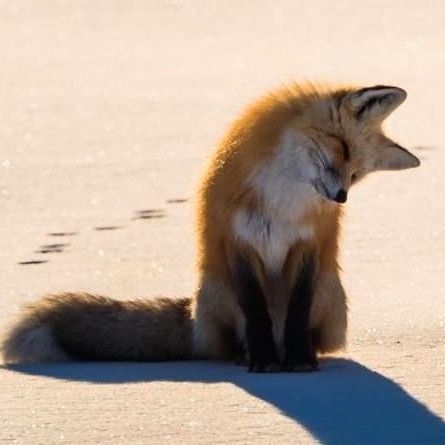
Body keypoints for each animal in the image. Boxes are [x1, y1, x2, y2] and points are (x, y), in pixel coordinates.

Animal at [0, 83, 418, 372]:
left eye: (356, 174)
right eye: (342, 149)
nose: (341, 197)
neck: (283, 198)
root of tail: (193, 319)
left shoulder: (308, 244)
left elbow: (299, 308)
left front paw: (300, 359)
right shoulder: (238, 241)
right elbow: (254, 307)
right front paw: (263, 361)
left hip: (332, 293)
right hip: (218, 289)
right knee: (233, 338)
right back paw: (245, 355)